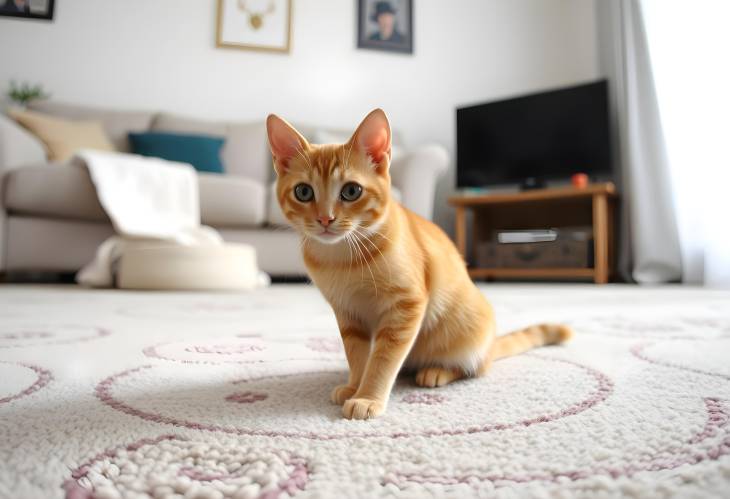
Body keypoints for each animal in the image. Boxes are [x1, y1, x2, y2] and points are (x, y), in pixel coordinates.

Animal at [264, 110, 572, 422]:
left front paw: (367, 396)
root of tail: (490, 344)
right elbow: (357, 355)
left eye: (351, 191)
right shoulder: (347, 313)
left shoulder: (405, 306)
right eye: (303, 192)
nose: (325, 219)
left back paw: (437, 371)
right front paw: (354, 386)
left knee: (473, 368)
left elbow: (383, 359)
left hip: (466, 337)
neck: (342, 258)